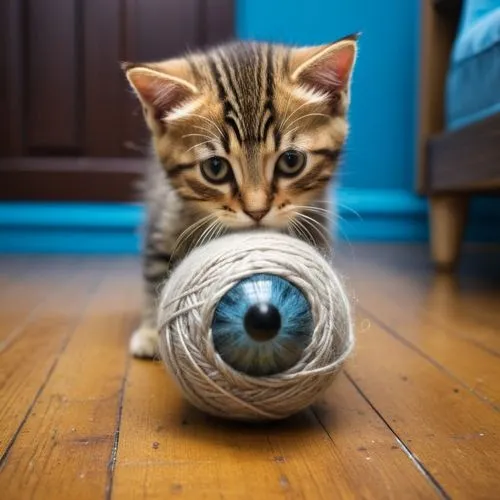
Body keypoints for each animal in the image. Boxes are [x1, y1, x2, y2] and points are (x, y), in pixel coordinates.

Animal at [123, 35, 358, 358]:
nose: (256, 211)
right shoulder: (165, 217)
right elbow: (156, 271)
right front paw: (150, 331)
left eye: (291, 161)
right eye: (215, 168)